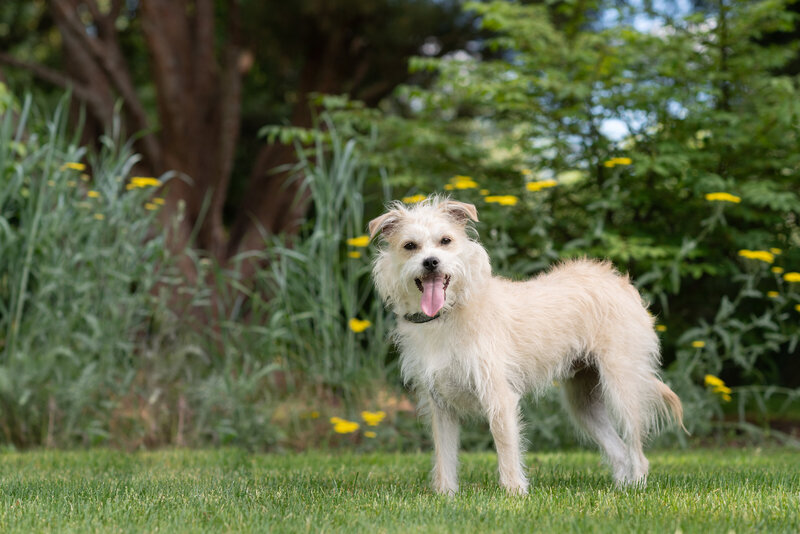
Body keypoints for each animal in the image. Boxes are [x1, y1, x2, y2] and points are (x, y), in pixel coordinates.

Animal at [372, 198, 684, 498]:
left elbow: (507, 450)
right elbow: (444, 457)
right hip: (584, 404)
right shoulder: (440, 406)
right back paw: (622, 490)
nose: (431, 262)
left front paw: (514, 495)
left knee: (637, 453)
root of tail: (618, 280)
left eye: (445, 240)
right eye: (410, 246)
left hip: (623, 390)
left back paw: (638, 488)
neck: (448, 313)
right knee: (618, 452)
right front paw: (445, 496)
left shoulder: (499, 398)